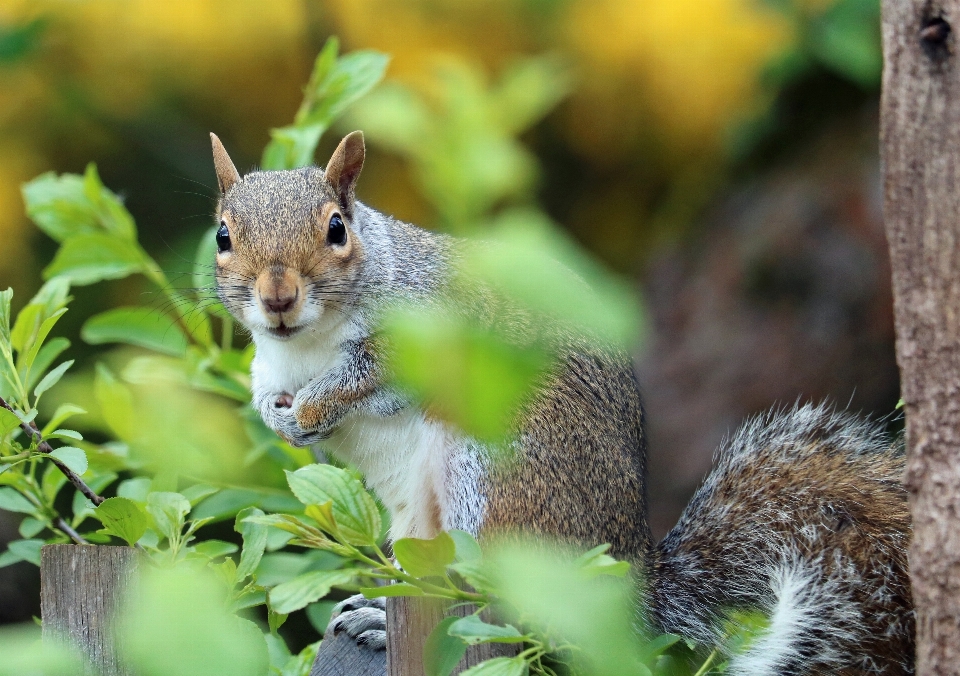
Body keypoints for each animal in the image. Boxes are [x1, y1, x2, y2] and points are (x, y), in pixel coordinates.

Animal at [210, 132, 916, 676]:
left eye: (336, 228)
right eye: (222, 234)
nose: (277, 297)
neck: (303, 346)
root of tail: (630, 585)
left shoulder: (430, 333)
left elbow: (367, 378)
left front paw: (311, 412)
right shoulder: (271, 362)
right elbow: (265, 387)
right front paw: (277, 412)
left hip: (492, 481)